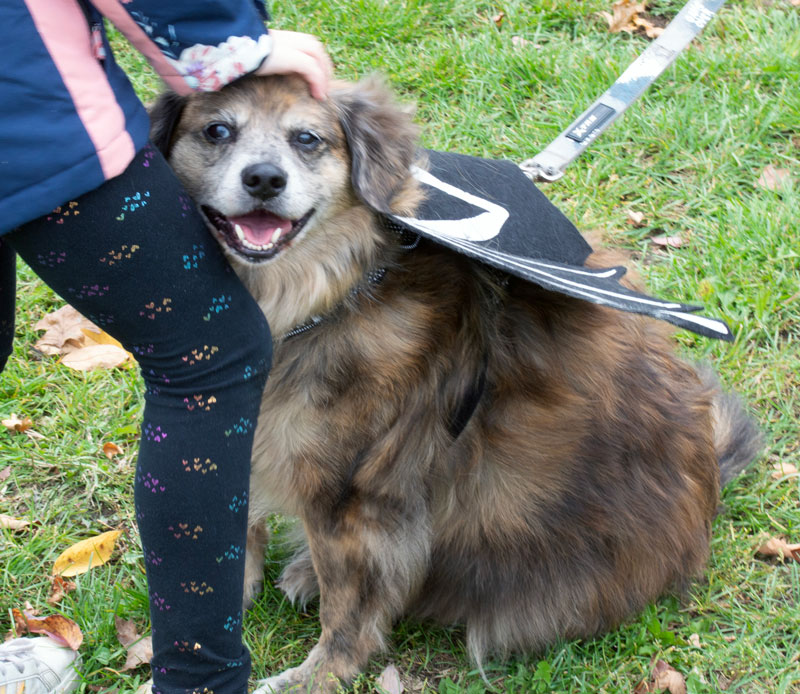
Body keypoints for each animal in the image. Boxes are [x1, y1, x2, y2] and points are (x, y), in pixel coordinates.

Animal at [152, 73, 764, 692]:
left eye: (307, 138)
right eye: (217, 130)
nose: (263, 179)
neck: (327, 296)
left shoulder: (356, 497)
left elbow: (348, 606)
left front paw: (321, 674)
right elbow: (239, 527)